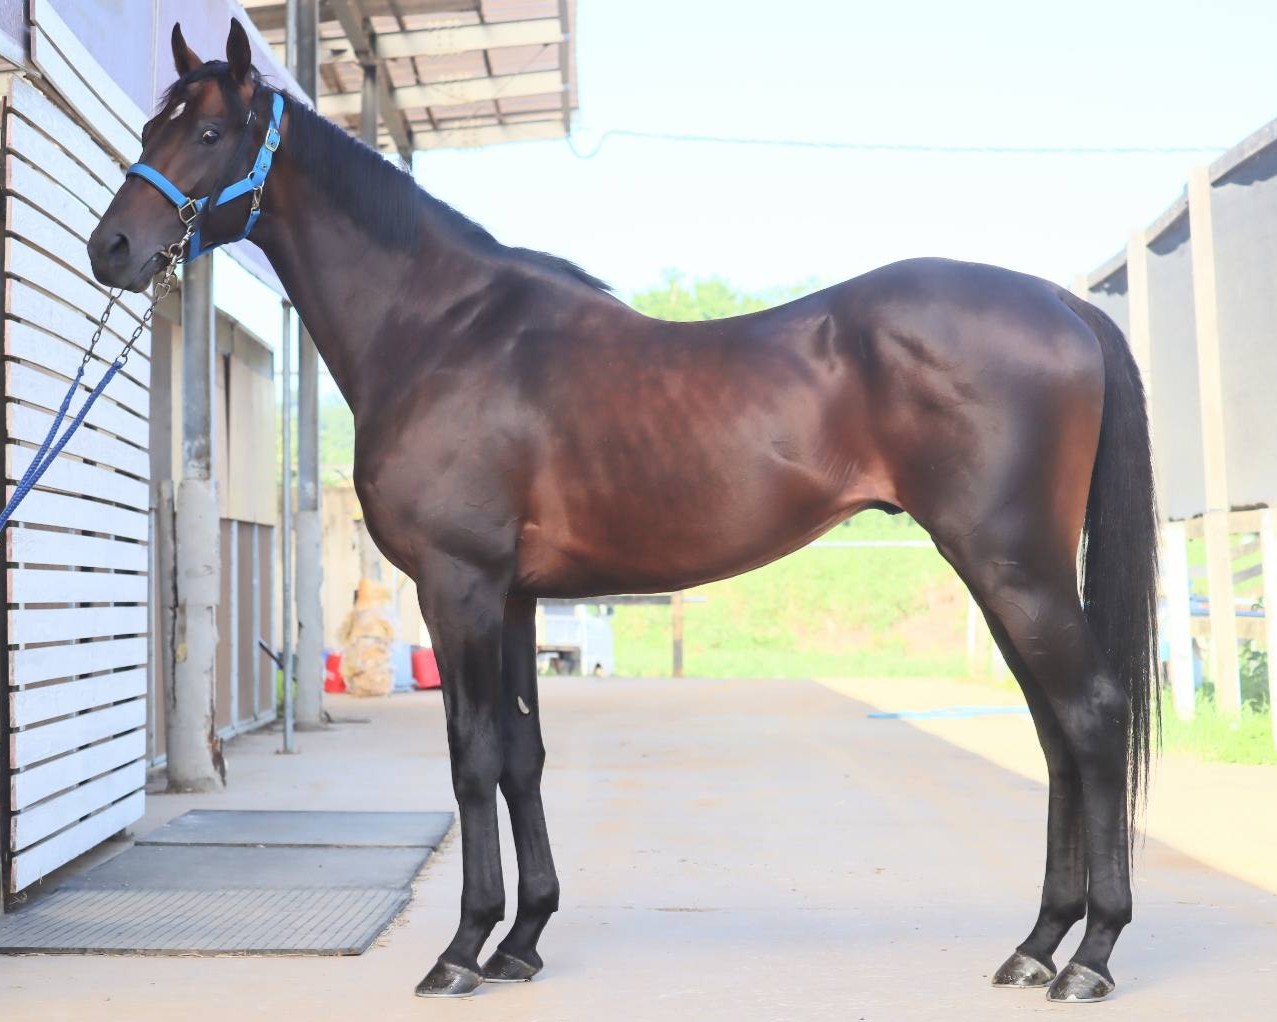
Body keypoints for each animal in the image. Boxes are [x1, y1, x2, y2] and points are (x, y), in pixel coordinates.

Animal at [88, 20, 1158, 1003]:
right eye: (151, 123)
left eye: (211, 130)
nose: (113, 248)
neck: (442, 331)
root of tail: (1064, 306)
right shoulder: (514, 597)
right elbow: (522, 755)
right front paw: (522, 940)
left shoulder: (459, 586)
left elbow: (471, 757)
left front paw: (461, 949)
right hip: (1003, 572)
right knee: (1053, 731)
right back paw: (1037, 944)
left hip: (1012, 566)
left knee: (1089, 715)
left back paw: (1092, 956)